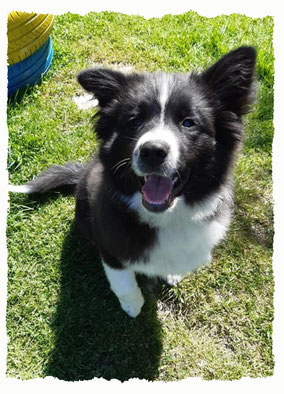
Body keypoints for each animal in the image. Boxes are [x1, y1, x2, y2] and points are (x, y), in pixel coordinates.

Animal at [8, 46, 258, 318]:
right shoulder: (110, 245)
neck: (165, 218)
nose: (153, 151)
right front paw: (133, 307)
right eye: (135, 121)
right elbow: (123, 281)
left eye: (189, 122)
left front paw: (171, 273)